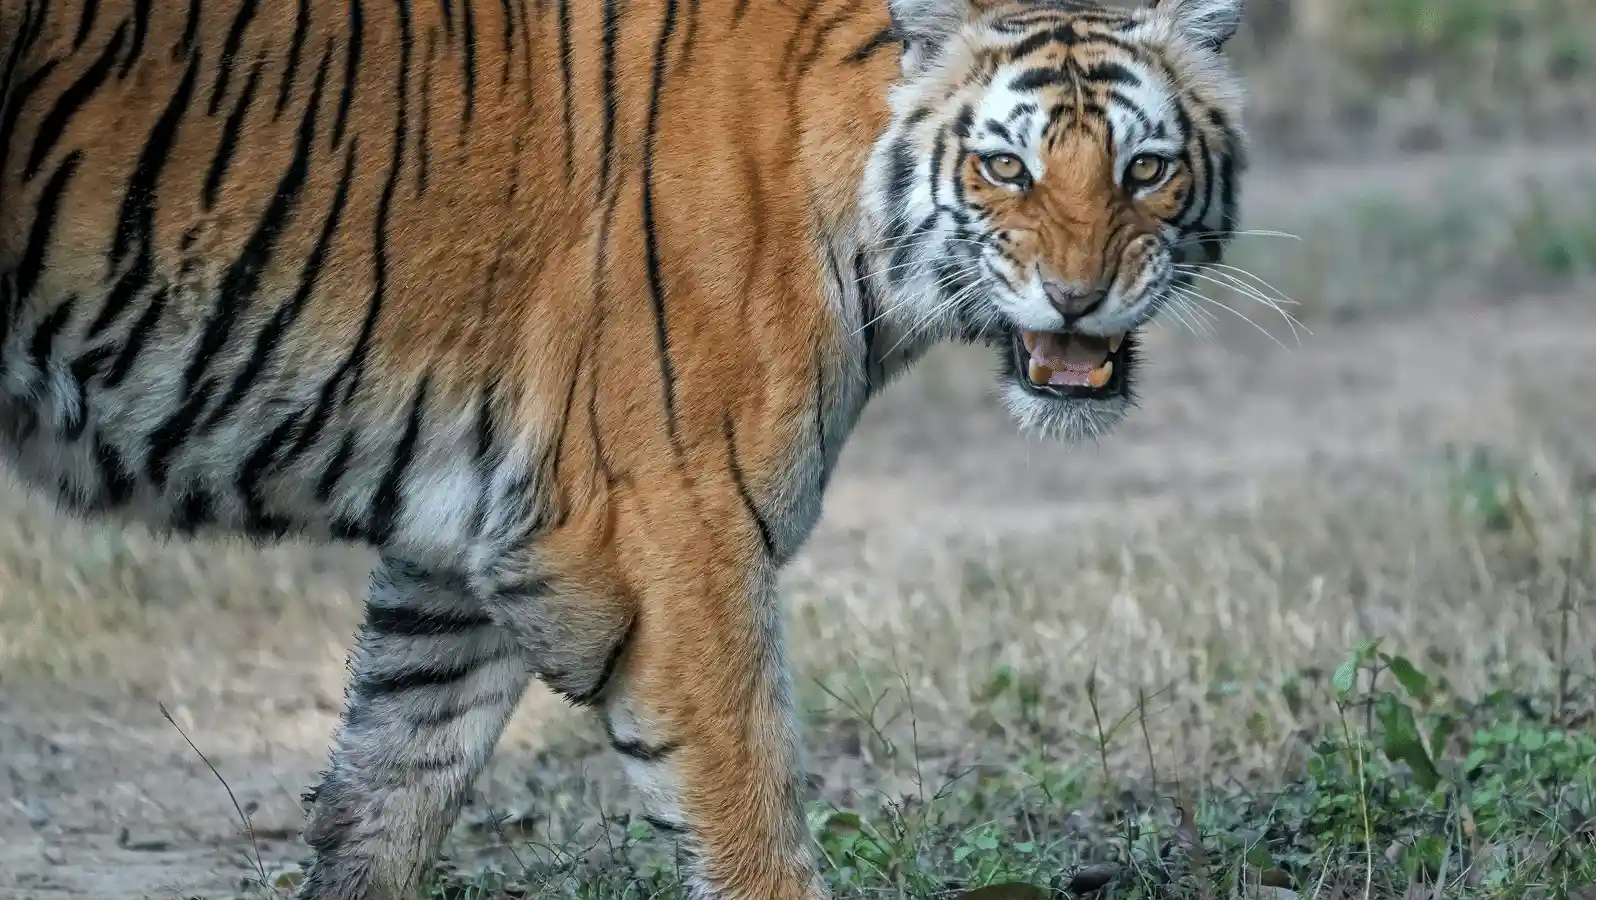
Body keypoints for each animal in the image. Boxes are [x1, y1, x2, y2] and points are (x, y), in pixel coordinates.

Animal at [0, 0, 1248, 896]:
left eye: (1144, 168)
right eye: (1006, 167)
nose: (1078, 297)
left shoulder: (465, 548)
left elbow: (387, 787)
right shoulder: (671, 532)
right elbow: (749, 821)